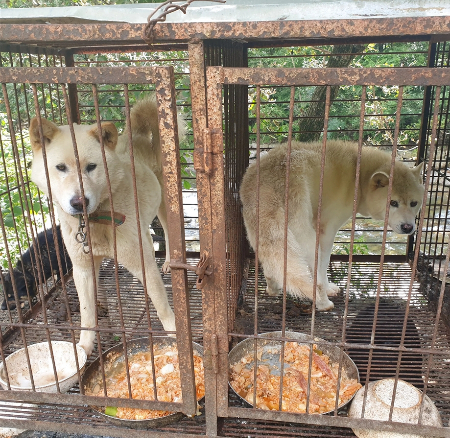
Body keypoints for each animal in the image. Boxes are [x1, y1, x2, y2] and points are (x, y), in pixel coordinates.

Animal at [29, 96, 177, 356]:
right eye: (60, 167)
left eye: (91, 166)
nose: (79, 202)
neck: (95, 222)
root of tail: (136, 137)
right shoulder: (82, 268)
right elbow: (87, 315)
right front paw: (84, 347)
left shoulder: (143, 264)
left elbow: (161, 303)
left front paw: (175, 332)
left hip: (164, 208)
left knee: (168, 235)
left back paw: (169, 261)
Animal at [241, 140, 424, 312]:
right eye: (393, 203)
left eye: (414, 203)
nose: (408, 227)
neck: (358, 176)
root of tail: (268, 180)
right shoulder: (327, 231)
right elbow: (323, 268)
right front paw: (329, 289)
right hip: (306, 238)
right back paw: (323, 303)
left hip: (261, 235)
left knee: (270, 265)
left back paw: (273, 288)